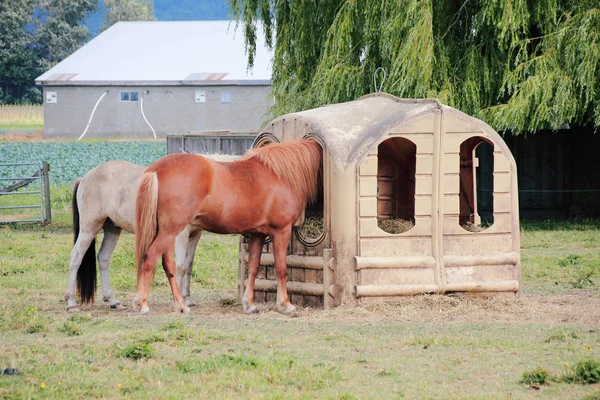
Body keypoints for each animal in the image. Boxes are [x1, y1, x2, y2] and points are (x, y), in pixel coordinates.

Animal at [62, 155, 237, 310]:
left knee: (103, 258)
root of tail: (84, 178)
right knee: (76, 257)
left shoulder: (194, 235)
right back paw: (71, 302)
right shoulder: (180, 235)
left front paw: (187, 299)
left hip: (112, 229)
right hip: (89, 228)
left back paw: (113, 300)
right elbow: (180, 266)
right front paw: (178, 301)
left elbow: (188, 265)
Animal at [134, 141, 322, 316]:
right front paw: (285, 304)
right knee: (151, 257)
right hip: (172, 231)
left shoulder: (257, 235)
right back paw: (145, 304)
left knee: (169, 264)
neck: (280, 176)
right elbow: (281, 268)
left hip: (168, 232)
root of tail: (157, 170)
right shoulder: (281, 231)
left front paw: (250, 305)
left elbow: (253, 268)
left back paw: (180, 305)